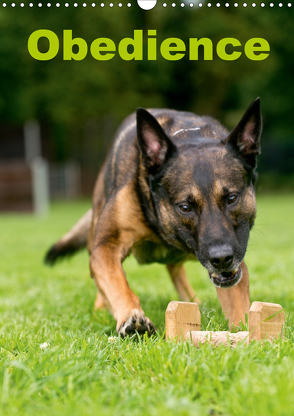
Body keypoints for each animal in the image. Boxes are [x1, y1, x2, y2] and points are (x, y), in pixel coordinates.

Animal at [46, 98, 262, 338]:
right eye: (185, 207)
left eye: (232, 198)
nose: (222, 258)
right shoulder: (105, 248)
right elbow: (115, 281)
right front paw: (131, 317)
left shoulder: (234, 262)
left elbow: (237, 305)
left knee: (176, 270)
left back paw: (193, 300)